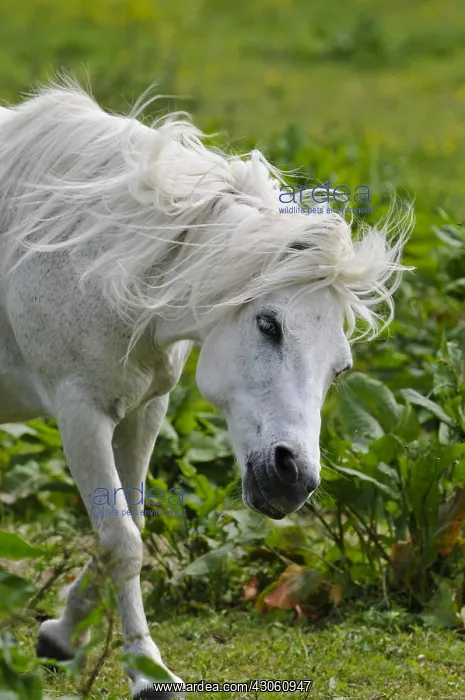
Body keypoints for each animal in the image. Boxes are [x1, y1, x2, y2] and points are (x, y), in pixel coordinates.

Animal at [0, 82, 412, 699]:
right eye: (268, 324)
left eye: (340, 370)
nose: (294, 479)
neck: (92, 256)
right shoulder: (81, 414)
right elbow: (123, 542)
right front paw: (146, 671)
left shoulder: (142, 411)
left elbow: (126, 528)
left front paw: (61, 636)